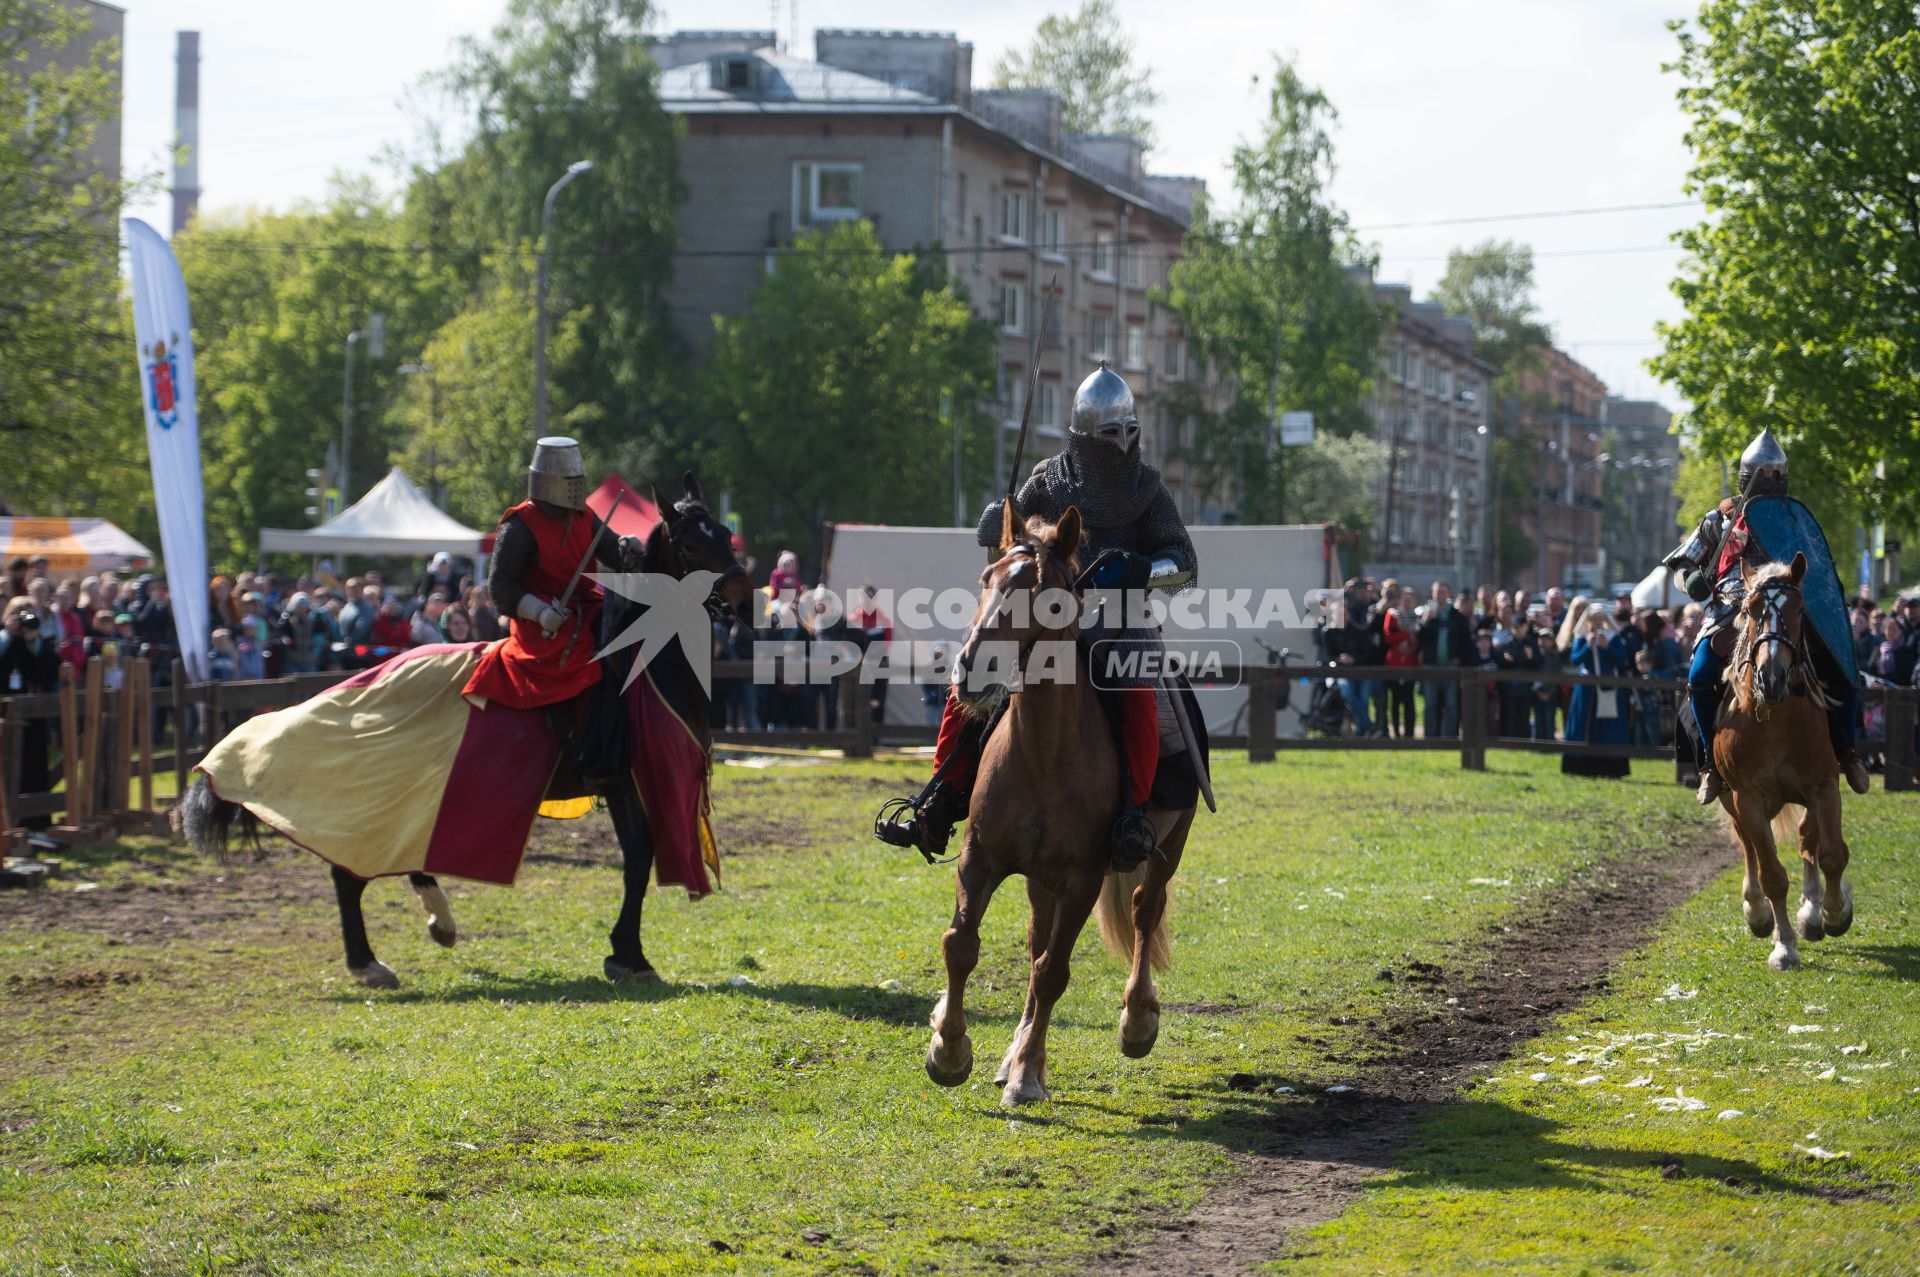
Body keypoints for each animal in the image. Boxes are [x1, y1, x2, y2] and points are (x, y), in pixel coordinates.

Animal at [180, 476, 748, 983]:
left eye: (726, 531)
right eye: (691, 542)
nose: (744, 591)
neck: (641, 662)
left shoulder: (621, 783)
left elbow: (636, 859)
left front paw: (629, 954)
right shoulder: (623, 777)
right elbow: (639, 857)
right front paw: (628, 954)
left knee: (395, 860)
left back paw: (436, 922)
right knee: (353, 869)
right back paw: (367, 961)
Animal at [921, 499, 1190, 1106]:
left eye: (1046, 595)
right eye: (988, 580)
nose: (972, 669)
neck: (1044, 751)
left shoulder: (1083, 878)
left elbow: (1054, 972)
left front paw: (1026, 1075)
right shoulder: (981, 858)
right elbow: (961, 945)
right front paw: (950, 1050)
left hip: (1168, 844)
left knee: (1144, 910)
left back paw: (1136, 1020)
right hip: (1038, 879)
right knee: (1036, 939)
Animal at [1720, 549, 1850, 967]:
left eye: (1798, 610)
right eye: (1750, 609)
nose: (1771, 677)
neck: (1774, 721)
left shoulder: (1824, 786)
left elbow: (1832, 854)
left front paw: (1834, 913)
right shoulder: (1746, 798)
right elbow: (1772, 874)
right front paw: (1784, 945)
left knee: (1809, 840)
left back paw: (1813, 911)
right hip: (1729, 798)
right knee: (1748, 845)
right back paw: (1758, 911)